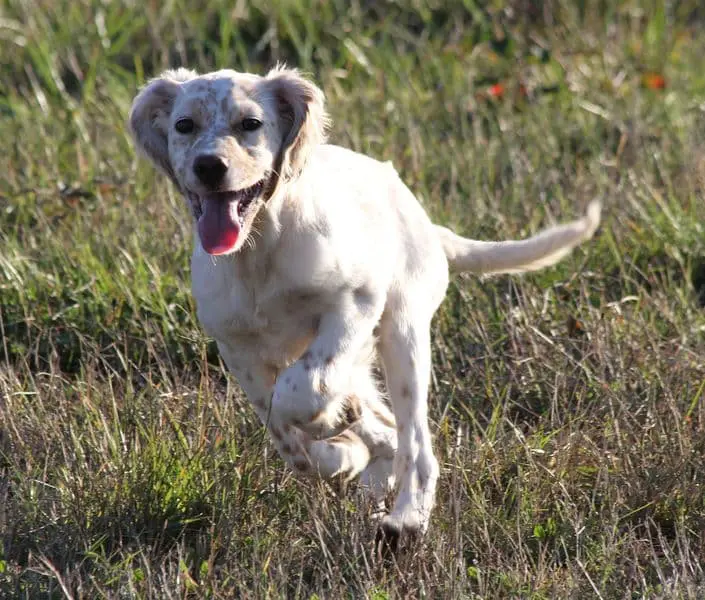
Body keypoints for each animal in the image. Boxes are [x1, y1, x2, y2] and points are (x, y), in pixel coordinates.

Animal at [128, 65, 600, 546]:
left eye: (251, 124)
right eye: (184, 125)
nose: (209, 166)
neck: (259, 251)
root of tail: (427, 223)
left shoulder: (354, 302)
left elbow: (301, 388)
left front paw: (337, 428)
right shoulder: (237, 346)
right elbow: (283, 430)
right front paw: (338, 450)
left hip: (402, 333)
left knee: (416, 445)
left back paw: (406, 518)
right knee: (384, 428)